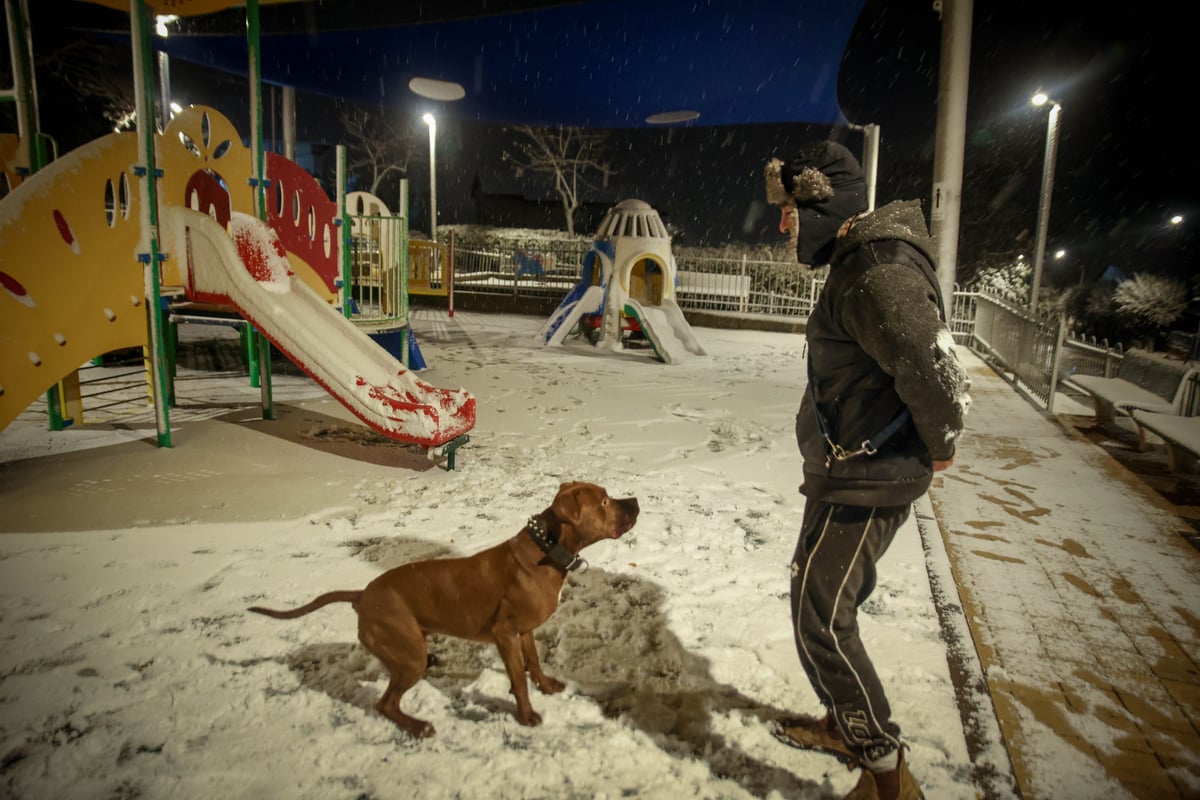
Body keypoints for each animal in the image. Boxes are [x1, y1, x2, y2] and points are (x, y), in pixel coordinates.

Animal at [246, 482, 638, 738]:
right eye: (605, 501)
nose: (635, 500)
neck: (548, 547)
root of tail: (362, 594)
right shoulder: (504, 634)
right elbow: (518, 680)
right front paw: (526, 717)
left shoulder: (524, 631)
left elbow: (535, 663)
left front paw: (547, 686)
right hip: (409, 657)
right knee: (385, 704)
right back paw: (417, 726)